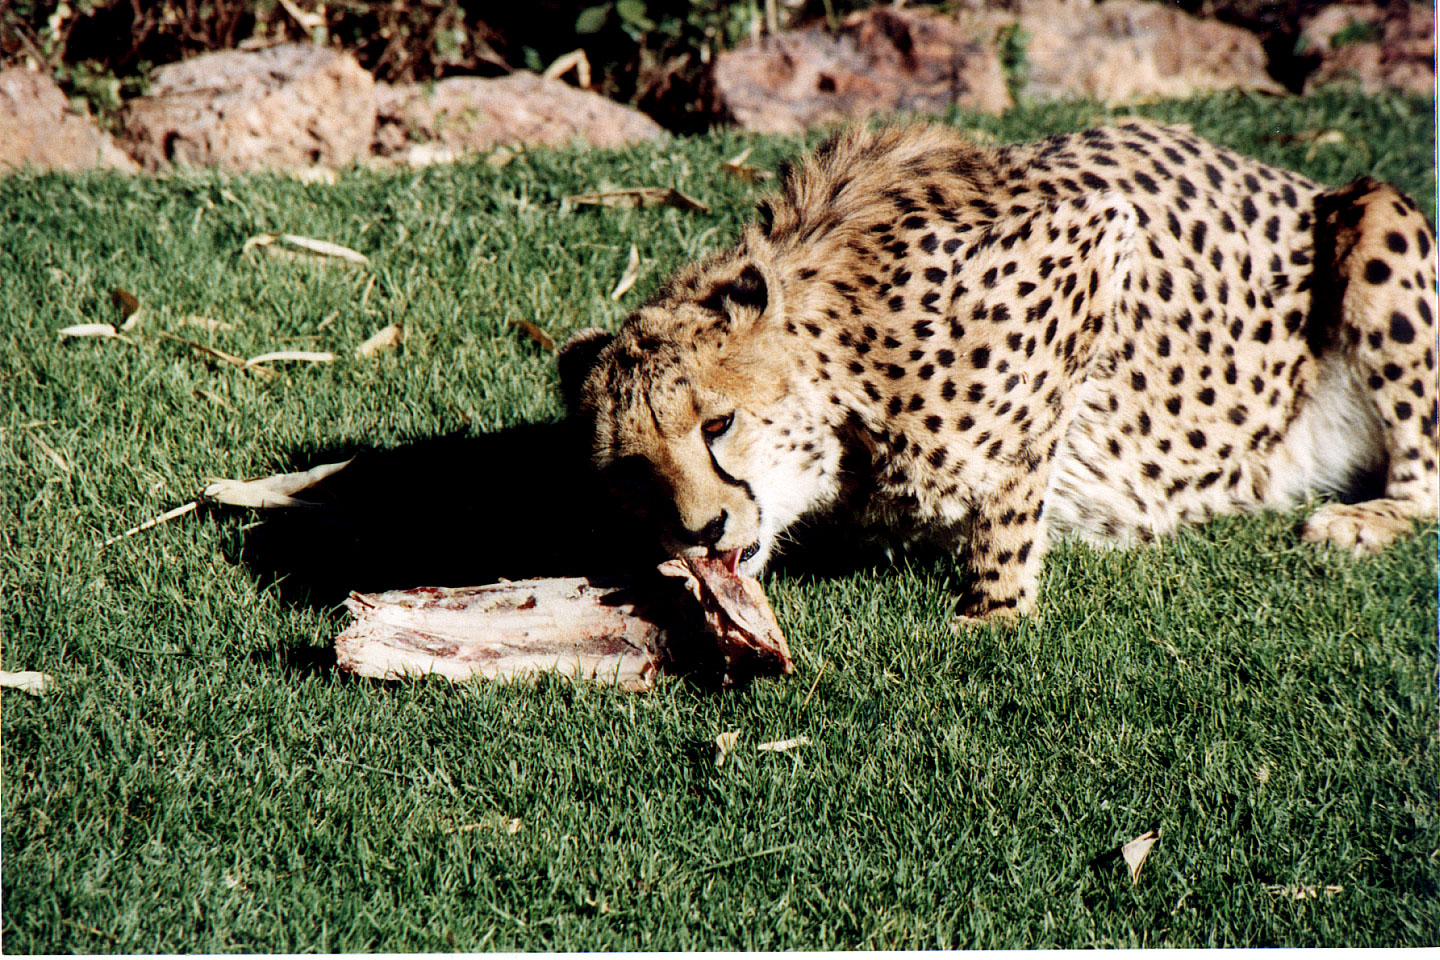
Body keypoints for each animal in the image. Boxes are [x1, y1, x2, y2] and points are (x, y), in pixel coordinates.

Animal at [555, 122, 1434, 624]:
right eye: (630, 468)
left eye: (719, 422)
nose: (699, 531)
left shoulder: (1094, 242)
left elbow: (1013, 478)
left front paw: (993, 612)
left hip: (1377, 216)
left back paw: (1359, 521)